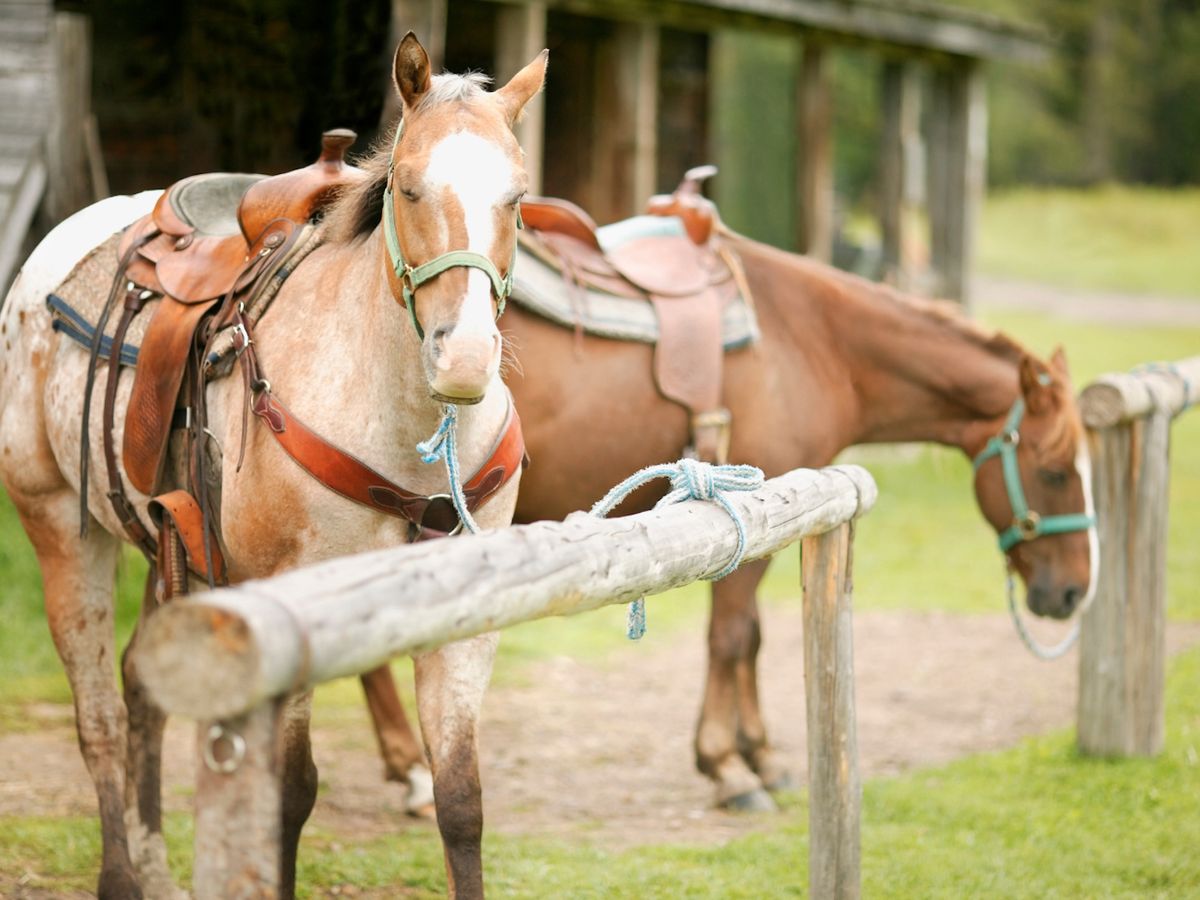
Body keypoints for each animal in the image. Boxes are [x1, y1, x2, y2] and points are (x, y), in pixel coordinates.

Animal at [0, 34, 546, 899]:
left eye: (519, 199)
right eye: (408, 187)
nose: (463, 358)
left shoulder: (468, 621)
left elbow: (460, 795)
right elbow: (289, 794)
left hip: (175, 552)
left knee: (140, 685)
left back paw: (155, 865)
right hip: (59, 526)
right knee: (98, 718)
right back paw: (122, 872)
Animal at [360, 217, 1098, 812]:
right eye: (1056, 470)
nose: (1074, 592)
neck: (809, 340)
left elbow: (754, 639)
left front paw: (760, 755)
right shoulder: (739, 517)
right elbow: (732, 636)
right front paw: (727, 766)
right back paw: (412, 773)